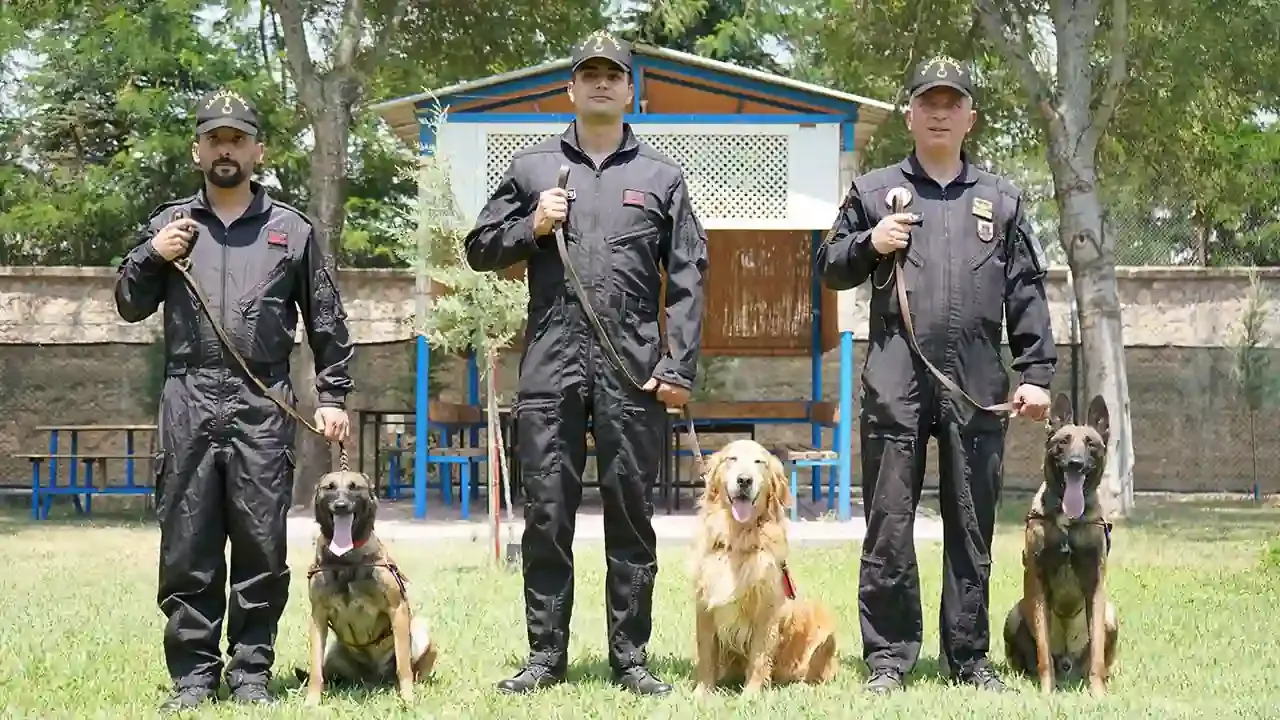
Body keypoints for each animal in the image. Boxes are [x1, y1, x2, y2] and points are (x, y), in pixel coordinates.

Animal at [301, 469, 437, 706]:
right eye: (329, 487)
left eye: (355, 487)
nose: (341, 505)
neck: (346, 560)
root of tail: (374, 678)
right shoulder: (318, 617)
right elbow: (315, 669)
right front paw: (312, 701)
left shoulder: (397, 609)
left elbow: (404, 666)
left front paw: (408, 698)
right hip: (334, 652)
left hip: (421, 631)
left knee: (413, 668)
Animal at [689, 439, 838, 695]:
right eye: (732, 459)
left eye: (759, 462)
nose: (744, 480)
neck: (738, 540)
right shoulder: (705, 607)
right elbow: (707, 655)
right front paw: (702, 693)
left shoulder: (767, 613)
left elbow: (759, 658)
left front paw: (750, 695)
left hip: (825, 630)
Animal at [1003, 393, 1119, 696]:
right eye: (1063, 441)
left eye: (1090, 443)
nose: (1075, 463)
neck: (1068, 522)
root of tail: (1068, 664)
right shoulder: (1038, 584)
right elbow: (1043, 652)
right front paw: (1047, 692)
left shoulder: (1095, 585)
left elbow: (1097, 655)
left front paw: (1097, 694)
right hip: (1014, 615)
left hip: (1111, 614)